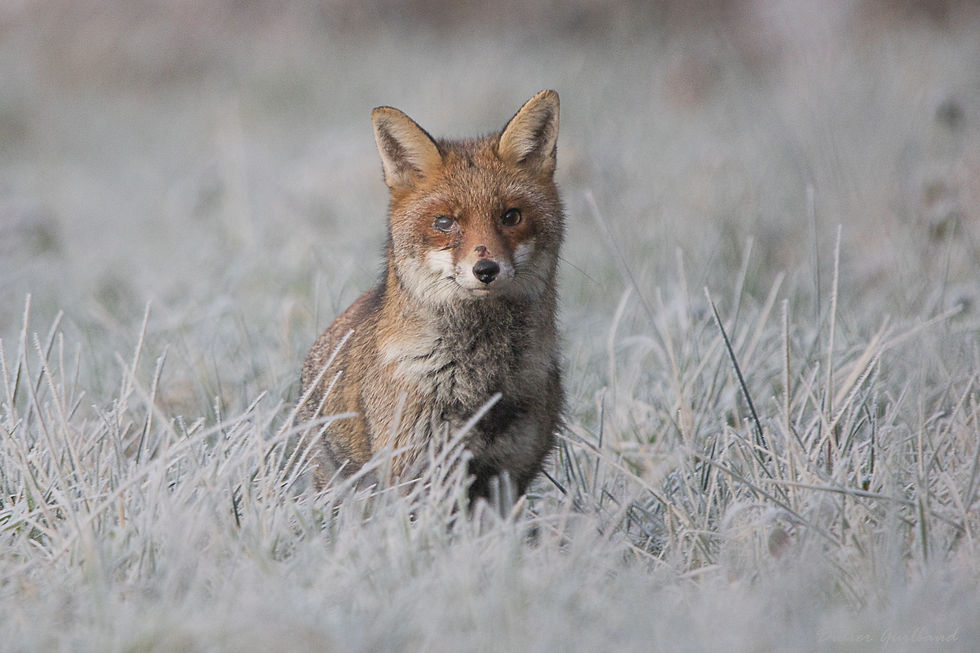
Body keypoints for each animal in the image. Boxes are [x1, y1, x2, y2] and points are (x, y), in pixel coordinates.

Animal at [298, 90, 564, 503]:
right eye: (444, 223)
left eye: (511, 217)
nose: (486, 270)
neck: (478, 377)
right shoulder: (414, 469)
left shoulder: (511, 472)